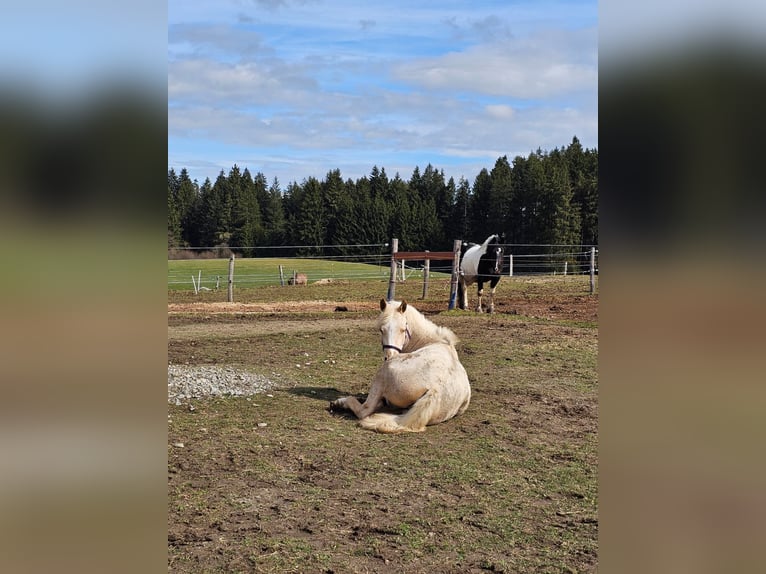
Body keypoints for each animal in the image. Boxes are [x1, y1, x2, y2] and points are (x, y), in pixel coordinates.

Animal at [329, 298, 471, 433]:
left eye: (403, 330)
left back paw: (340, 403)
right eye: (381, 330)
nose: (390, 356)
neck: (433, 341)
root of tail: (435, 390)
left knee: (365, 409)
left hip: (382, 375)